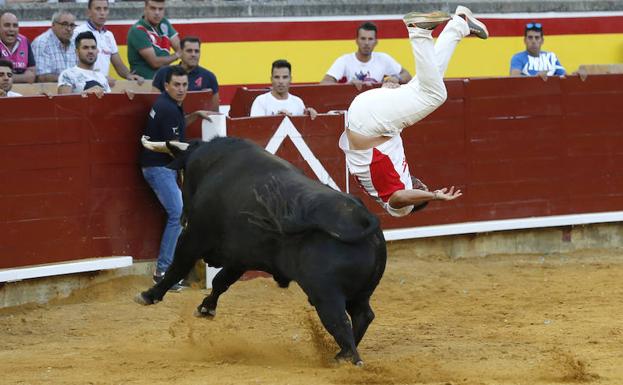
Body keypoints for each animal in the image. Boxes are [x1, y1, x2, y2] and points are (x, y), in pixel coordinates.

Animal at [138, 136, 386, 364]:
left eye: (182, 175)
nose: (182, 218)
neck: (215, 164)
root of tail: (363, 217)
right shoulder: (240, 257)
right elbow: (220, 281)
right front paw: (206, 308)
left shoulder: (193, 237)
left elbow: (178, 268)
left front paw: (149, 295)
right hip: (359, 293)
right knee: (363, 315)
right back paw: (340, 355)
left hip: (325, 293)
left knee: (340, 321)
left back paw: (347, 359)